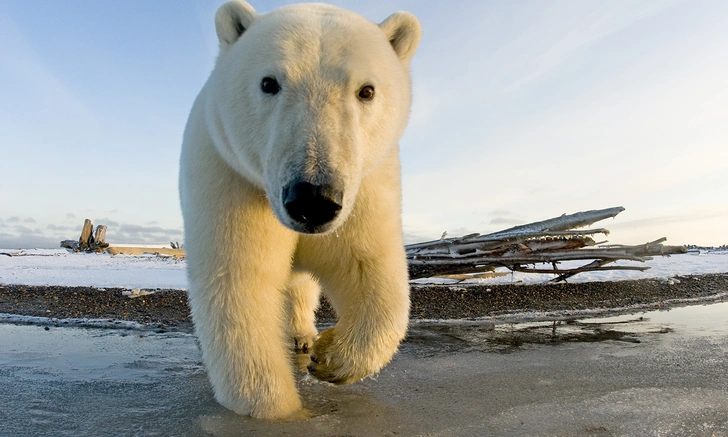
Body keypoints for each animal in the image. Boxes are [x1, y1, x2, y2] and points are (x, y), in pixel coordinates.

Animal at [178, 0, 420, 418]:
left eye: (367, 90)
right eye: (269, 83)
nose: (312, 199)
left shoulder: (365, 189)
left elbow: (366, 265)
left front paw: (330, 357)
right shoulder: (231, 180)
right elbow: (239, 285)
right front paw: (281, 410)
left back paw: (303, 338)